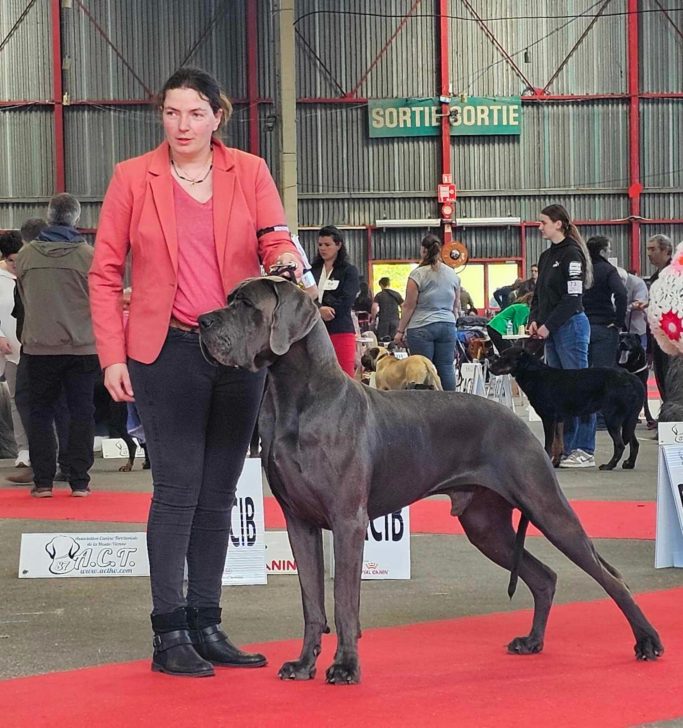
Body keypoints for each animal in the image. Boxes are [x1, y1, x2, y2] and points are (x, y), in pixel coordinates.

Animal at [492, 346, 648, 472]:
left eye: (504, 357)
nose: (490, 366)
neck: (534, 373)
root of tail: (632, 377)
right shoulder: (559, 420)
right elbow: (558, 443)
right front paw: (555, 462)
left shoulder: (549, 418)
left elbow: (549, 444)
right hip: (628, 419)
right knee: (634, 443)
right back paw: (629, 464)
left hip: (613, 418)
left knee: (620, 445)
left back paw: (609, 466)